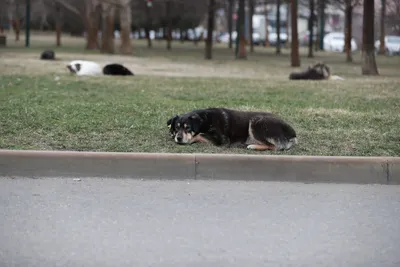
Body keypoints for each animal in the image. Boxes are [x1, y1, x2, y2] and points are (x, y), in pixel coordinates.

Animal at [166, 108, 296, 152]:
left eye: (187, 127)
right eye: (176, 127)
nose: (179, 138)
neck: (205, 119)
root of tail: (292, 134)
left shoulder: (222, 140)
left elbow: (199, 135)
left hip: (256, 121)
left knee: (274, 146)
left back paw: (253, 146)